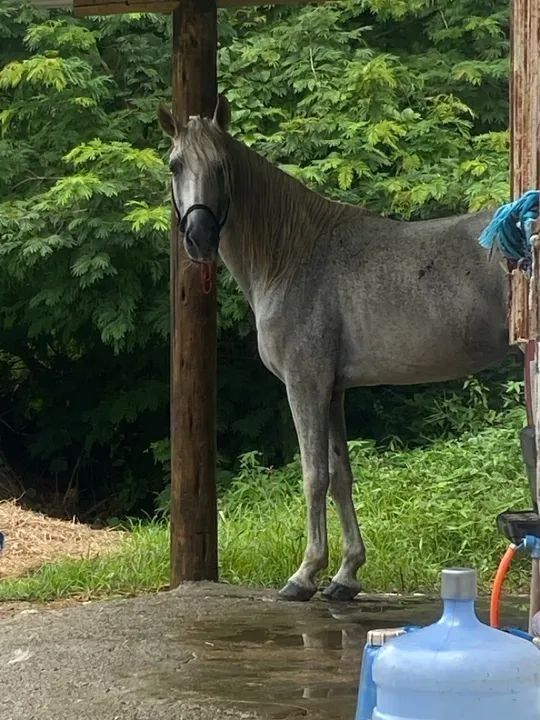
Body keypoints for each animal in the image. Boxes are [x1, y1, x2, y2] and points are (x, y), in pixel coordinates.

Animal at [158, 95, 509, 602]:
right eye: (175, 165)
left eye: (222, 167)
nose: (199, 238)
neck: (292, 256)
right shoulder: (334, 389)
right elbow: (341, 476)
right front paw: (345, 575)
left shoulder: (306, 384)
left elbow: (313, 476)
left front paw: (304, 575)